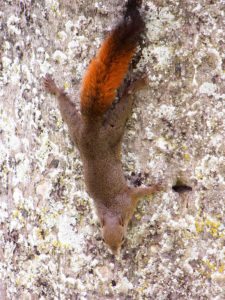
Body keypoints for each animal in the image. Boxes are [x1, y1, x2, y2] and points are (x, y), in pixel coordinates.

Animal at [44, 0, 161, 255]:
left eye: (123, 238)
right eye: (104, 240)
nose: (116, 255)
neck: (111, 210)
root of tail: (90, 127)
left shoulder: (129, 197)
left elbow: (141, 191)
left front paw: (156, 187)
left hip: (108, 129)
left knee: (124, 101)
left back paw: (136, 84)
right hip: (83, 131)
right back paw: (55, 89)